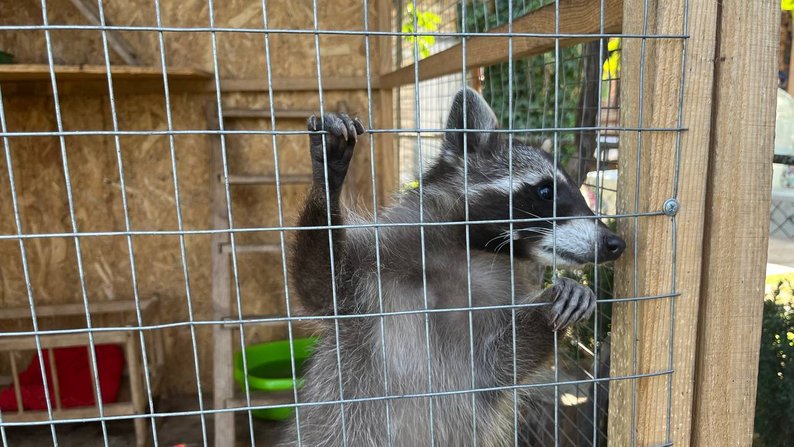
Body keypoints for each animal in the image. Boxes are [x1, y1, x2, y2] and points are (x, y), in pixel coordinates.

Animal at [280, 88, 624, 447]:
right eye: (545, 190)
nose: (615, 243)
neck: (468, 252)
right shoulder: (370, 274)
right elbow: (320, 286)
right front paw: (326, 181)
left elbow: (505, 360)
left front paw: (558, 302)